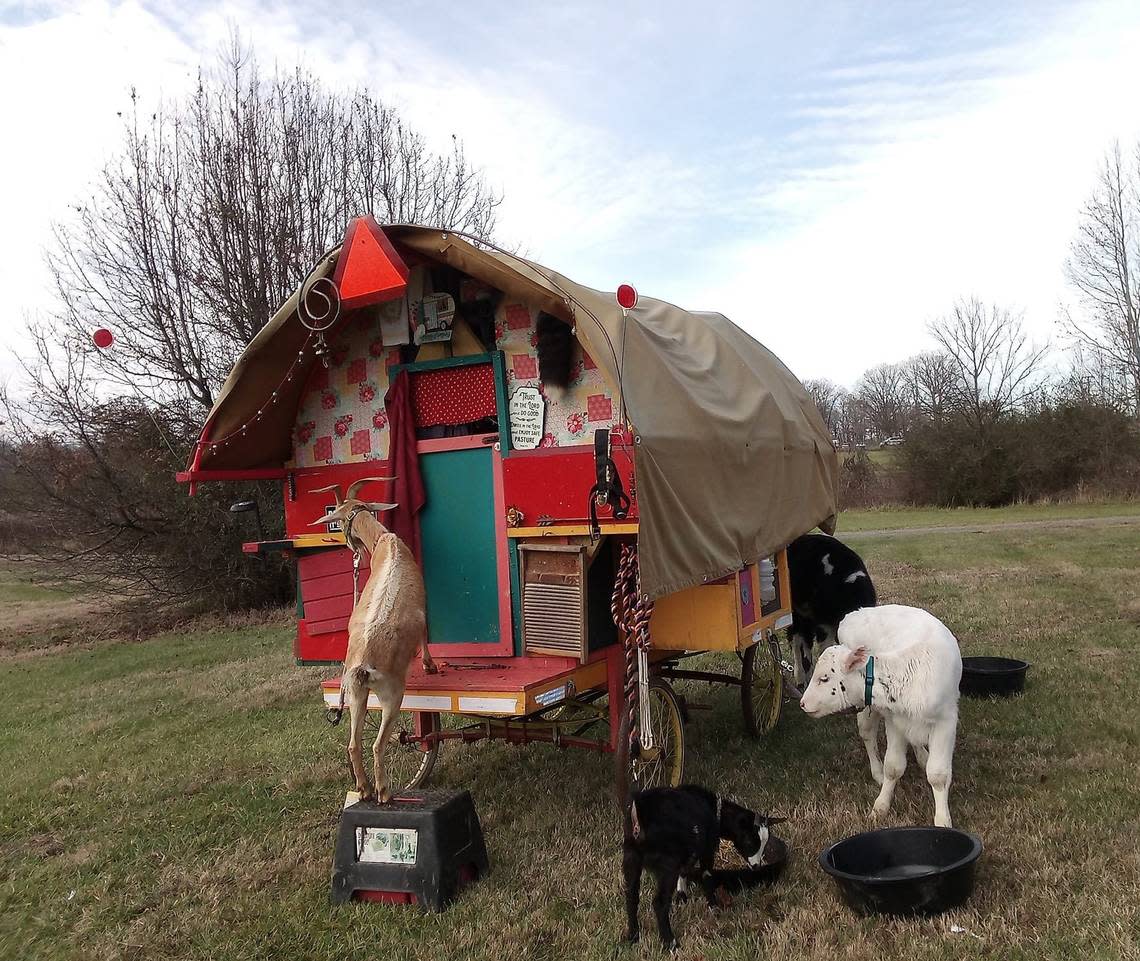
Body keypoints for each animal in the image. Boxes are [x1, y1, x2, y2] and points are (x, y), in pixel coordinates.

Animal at [312, 478, 435, 802]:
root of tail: (363, 668)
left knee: (354, 744)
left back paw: (364, 788)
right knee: (378, 744)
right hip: (392, 694)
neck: (386, 544)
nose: (348, 545)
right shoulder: (423, 608)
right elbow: (425, 634)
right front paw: (430, 665)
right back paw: (383, 791)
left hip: (356, 694)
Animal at [802, 611, 962, 825]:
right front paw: (881, 806)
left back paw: (922, 756)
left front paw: (943, 819)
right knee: (867, 734)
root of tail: (854, 613)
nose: (802, 703)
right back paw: (877, 772)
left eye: (824, 678)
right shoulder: (893, 720)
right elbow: (893, 767)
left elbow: (938, 775)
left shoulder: (945, 722)